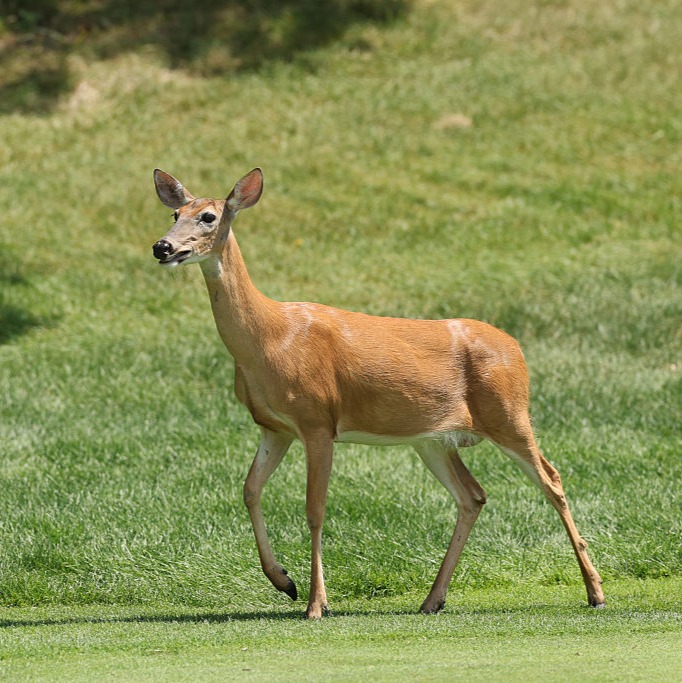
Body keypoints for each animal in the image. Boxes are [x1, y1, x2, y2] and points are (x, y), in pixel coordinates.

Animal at [151, 167, 605, 619]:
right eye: (175, 213)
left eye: (208, 216)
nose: (162, 246)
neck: (269, 339)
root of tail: (517, 349)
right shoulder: (274, 427)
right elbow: (249, 490)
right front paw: (284, 581)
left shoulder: (317, 420)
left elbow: (314, 510)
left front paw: (317, 603)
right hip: (433, 440)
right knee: (473, 495)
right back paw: (432, 599)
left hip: (508, 413)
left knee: (551, 479)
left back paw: (594, 591)